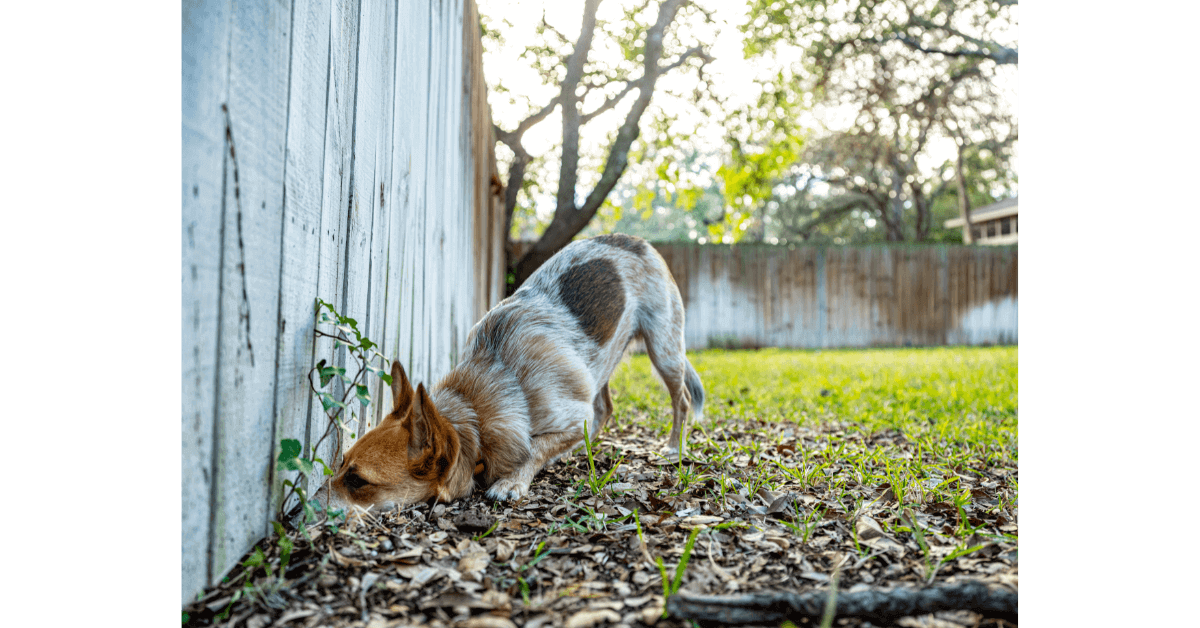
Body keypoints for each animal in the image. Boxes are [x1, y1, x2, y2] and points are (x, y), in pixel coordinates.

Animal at [328, 232, 700, 509]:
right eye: (341, 464)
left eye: (357, 481)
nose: (314, 510)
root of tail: (639, 241)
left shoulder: (570, 415)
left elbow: (533, 448)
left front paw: (511, 481)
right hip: (600, 364)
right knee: (605, 407)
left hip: (664, 349)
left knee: (679, 399)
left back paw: (673, 447)